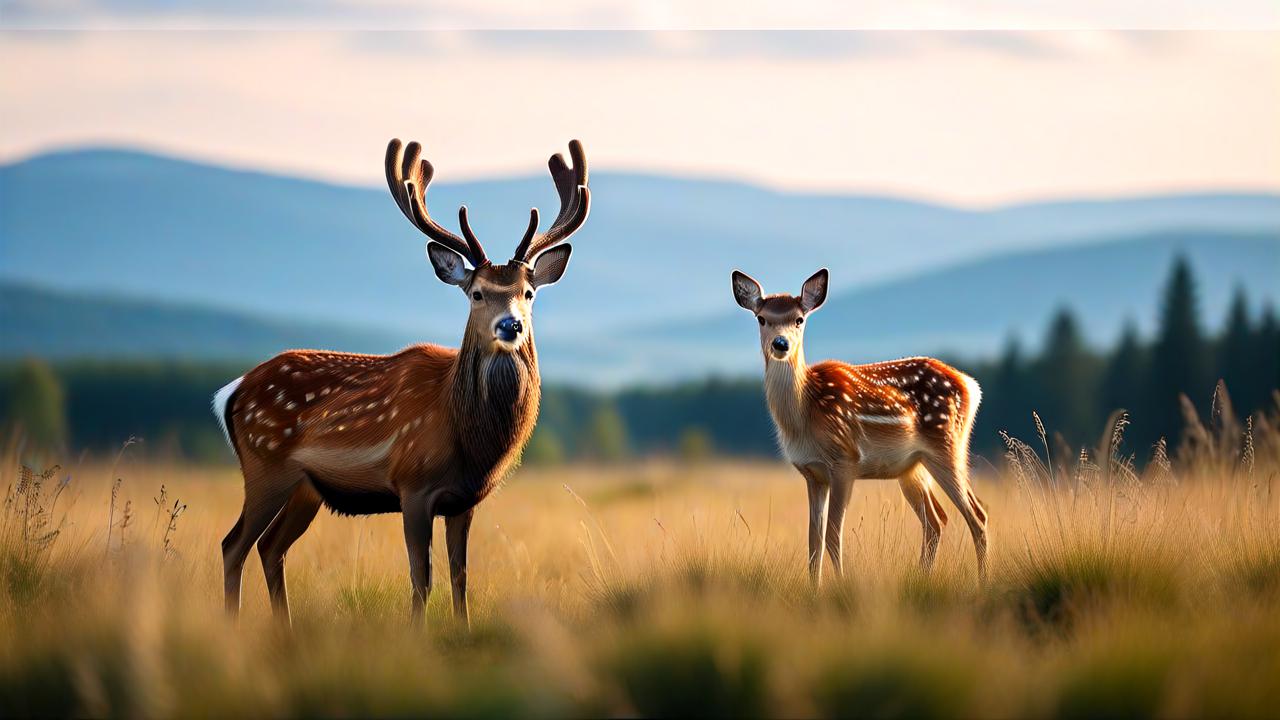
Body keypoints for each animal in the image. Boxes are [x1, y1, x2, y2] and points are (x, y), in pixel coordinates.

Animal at [209, 135, 588, 622]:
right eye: (476, 293)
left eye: (528, 292)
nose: (511, 325)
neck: (467, 438)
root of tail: (232, 392)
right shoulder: (413, 485)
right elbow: (421, 578)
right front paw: (416, 631)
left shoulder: (464, 501)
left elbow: (461, 578)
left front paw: (462, 628)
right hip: (265, 467)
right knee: (233, 544)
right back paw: (232, 624)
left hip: (305, 488)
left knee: (271, 548)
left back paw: (283, 627)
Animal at [732, 267, 988, 584]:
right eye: (762, 318)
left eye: (799, 319)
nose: (781, 344)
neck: (806, 414)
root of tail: (971, 385)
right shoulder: (812, 473)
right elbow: (813, 541)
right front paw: (814, 589)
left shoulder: (845, 460)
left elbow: (833, 535)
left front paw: (841, 585)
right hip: (912, 466)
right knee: (936, 519)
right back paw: (922, 579)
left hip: (947, 445)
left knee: (977, 514)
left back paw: (982, 582)